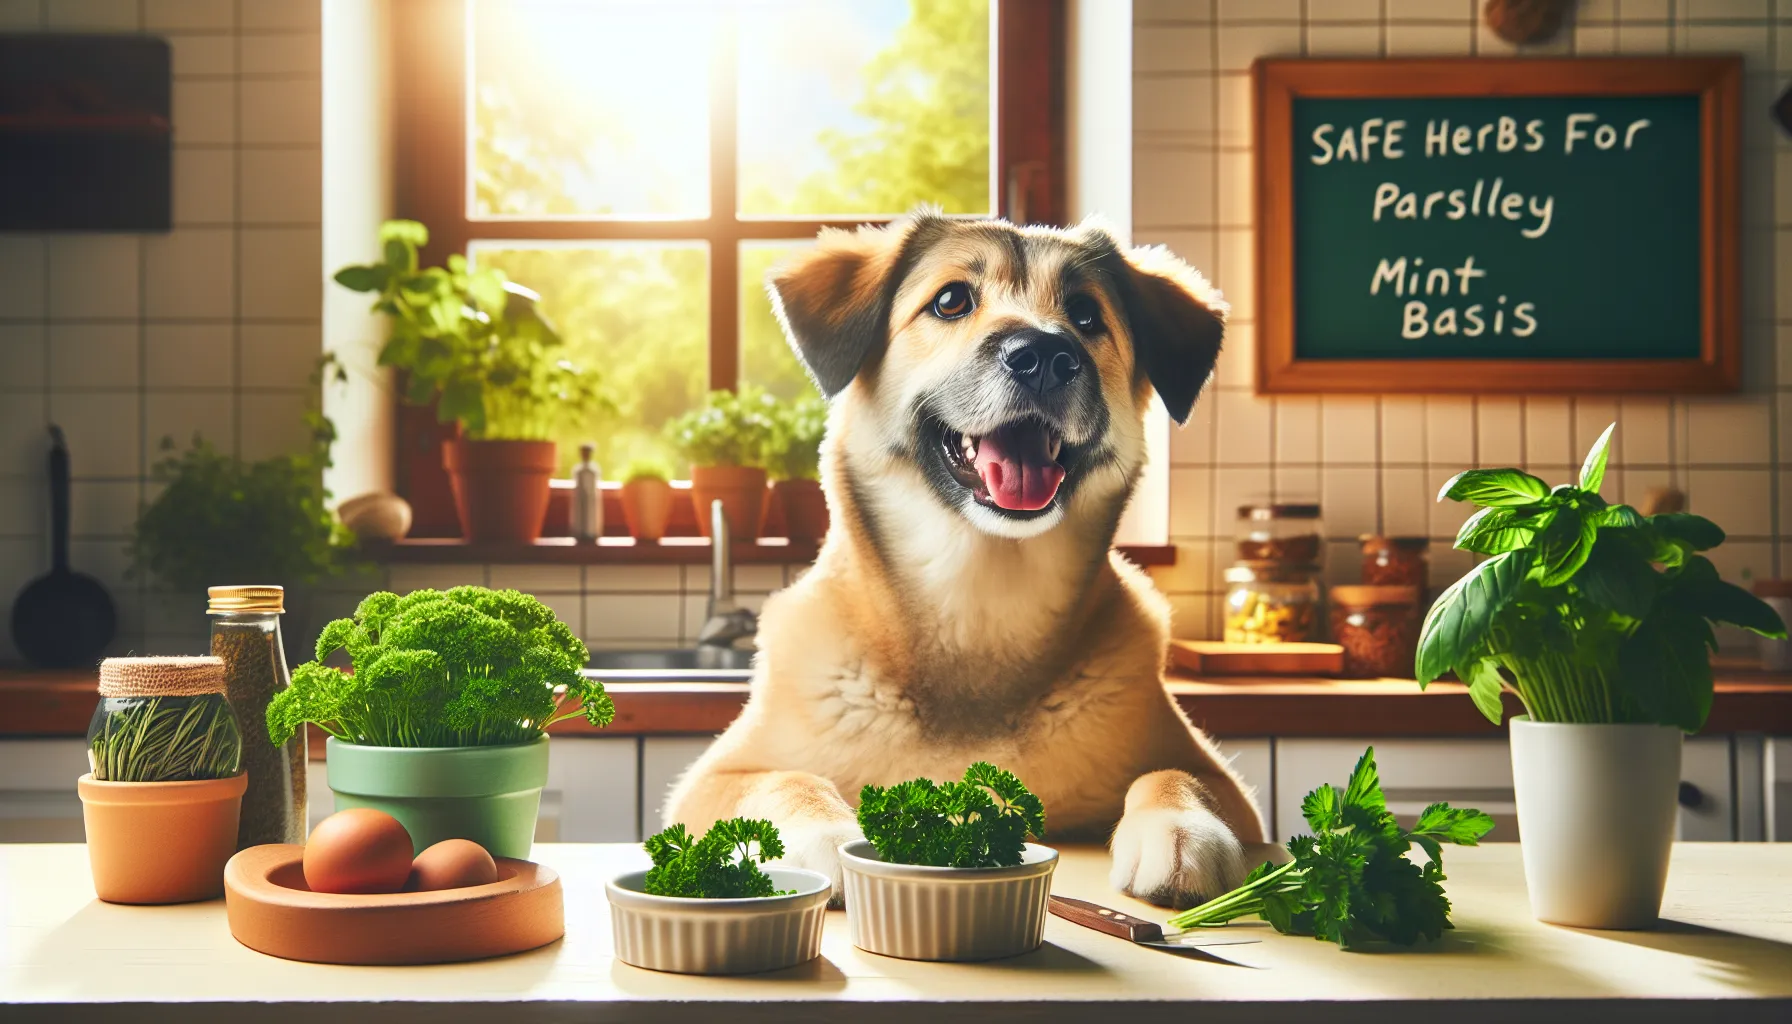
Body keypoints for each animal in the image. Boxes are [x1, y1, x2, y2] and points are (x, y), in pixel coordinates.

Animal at [666, 212, 1268, 911]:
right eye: (951, 300)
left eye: (1086, 314)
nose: (1046, 356)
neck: (978, 599)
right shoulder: (713, 779)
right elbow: (785, 780)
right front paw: (829, 835)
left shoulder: (1224, 786)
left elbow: (1174, 775)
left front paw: (1180, 830)